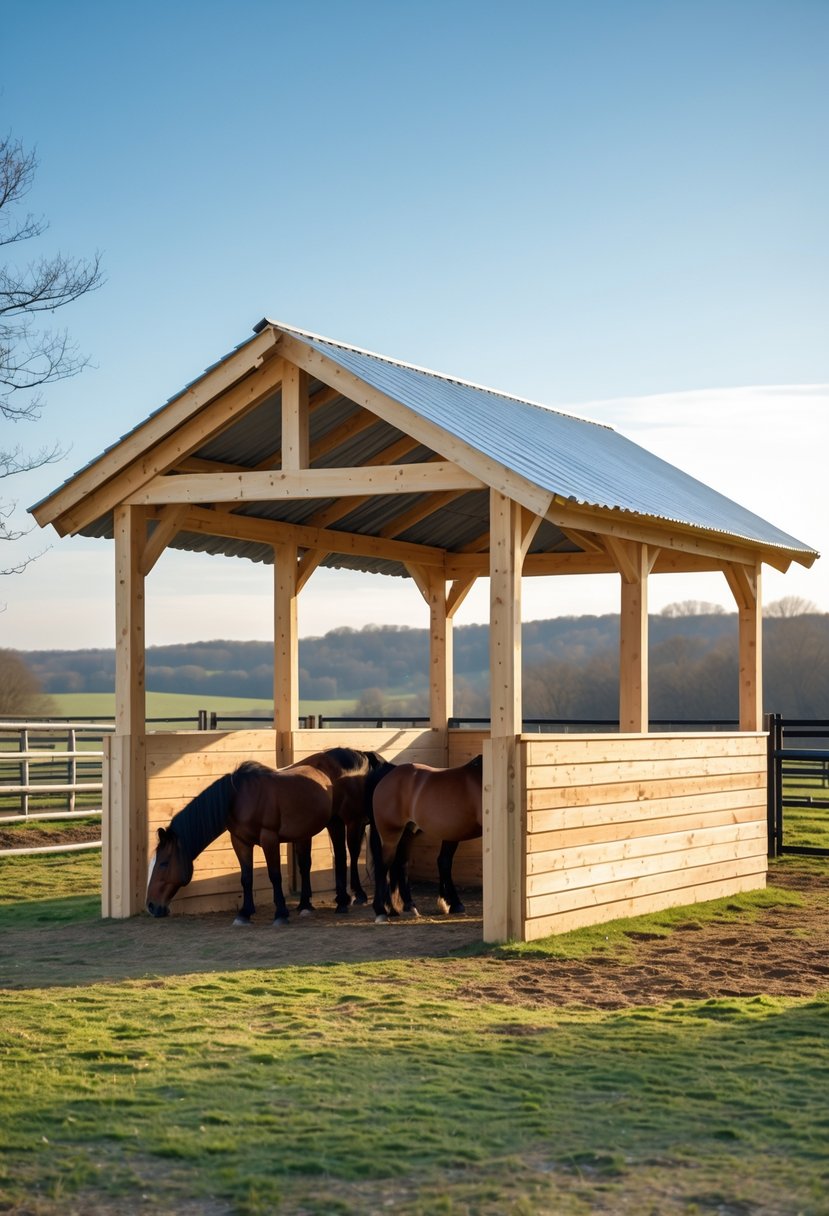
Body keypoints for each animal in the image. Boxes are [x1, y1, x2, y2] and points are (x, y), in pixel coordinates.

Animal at [146, 747, 384, 925]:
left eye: (164, 863)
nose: (150, 905)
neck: (238, 798)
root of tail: (359, 755)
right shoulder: (240, 841)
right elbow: (246, 877)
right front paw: (244, 913)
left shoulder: (269, 839)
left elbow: (275, 875)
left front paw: (280, 913)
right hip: (330, 822)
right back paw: (309, 904)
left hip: (349, 821)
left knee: (348, 855)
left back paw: (349, 899)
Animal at [367, 754, 483, 922]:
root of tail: (389, 773)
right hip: (391, 834)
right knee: (383, 866)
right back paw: (381, 910)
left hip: (408, 833)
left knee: (401, 864)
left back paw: (409, 906)